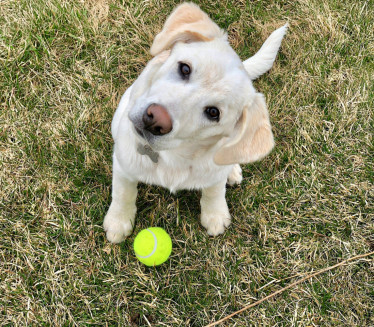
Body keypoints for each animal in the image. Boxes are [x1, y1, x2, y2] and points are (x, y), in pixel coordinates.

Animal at [103, 2, 288, 243]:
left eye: (213, 112)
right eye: (184, 68)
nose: (155, 120)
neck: (174, 157)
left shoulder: (214, 175)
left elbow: (214, 191)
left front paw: (215, 215)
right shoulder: (123, 165)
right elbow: (123, 193)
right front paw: (118, 222)